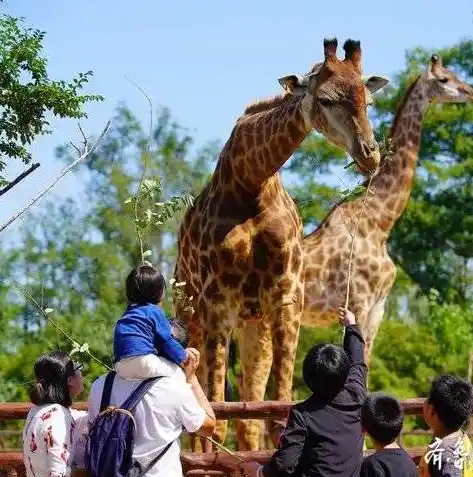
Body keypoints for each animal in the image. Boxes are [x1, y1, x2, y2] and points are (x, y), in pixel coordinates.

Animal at [172, 38, 388, 450]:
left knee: (248, 417)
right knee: (200, 419)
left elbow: (275, 414)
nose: (370, 155)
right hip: (190, 310)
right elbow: (216, 417)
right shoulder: (219, 299)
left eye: (368, 101)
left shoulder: (286, 298)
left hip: (253, 325)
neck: (251, 182)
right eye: (325, 99)